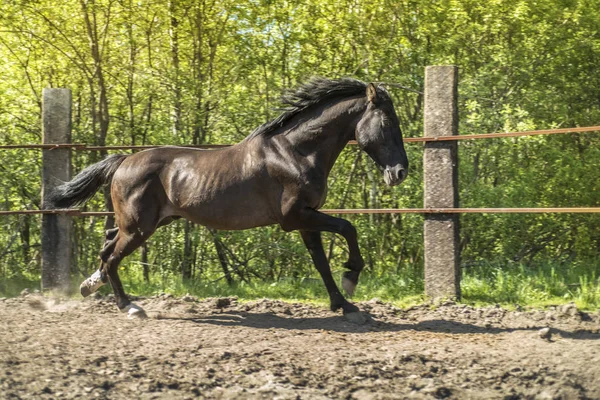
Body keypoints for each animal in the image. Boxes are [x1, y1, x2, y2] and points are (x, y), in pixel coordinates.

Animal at [49, 78, 410, 320]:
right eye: (387, 121)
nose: (400, 172)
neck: (296, 152)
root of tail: (123, 161)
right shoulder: (294, 217)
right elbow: (348, 228)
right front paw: (351, 279)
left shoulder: (307, 217)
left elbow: (321, 262)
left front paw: (345, 305)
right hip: (139, 227)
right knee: (112, 257)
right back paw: (131, 307)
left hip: (145, 222)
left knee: (107, 246)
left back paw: (90, 285)